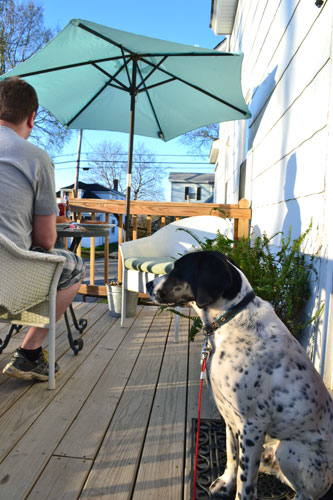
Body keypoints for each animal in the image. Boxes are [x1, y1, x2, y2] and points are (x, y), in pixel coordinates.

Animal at [146, 252, 332, 500]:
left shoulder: (252, 424)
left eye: (177, 269)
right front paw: (226, 483)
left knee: (305, 494)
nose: (148, 284)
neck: (231, 319)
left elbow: (245, 485)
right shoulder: (230, 417)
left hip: (291, 449)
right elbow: (231, 455)